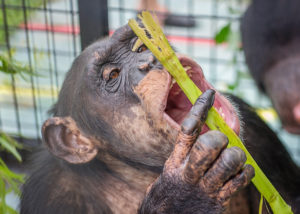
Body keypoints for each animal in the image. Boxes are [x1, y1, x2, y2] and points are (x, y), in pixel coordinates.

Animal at [20, 24, 300, 213]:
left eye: (140, 47)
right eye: (112, 75)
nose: (150, 59)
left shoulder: (257, 132)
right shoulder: (49, 193)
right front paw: (183, 194)